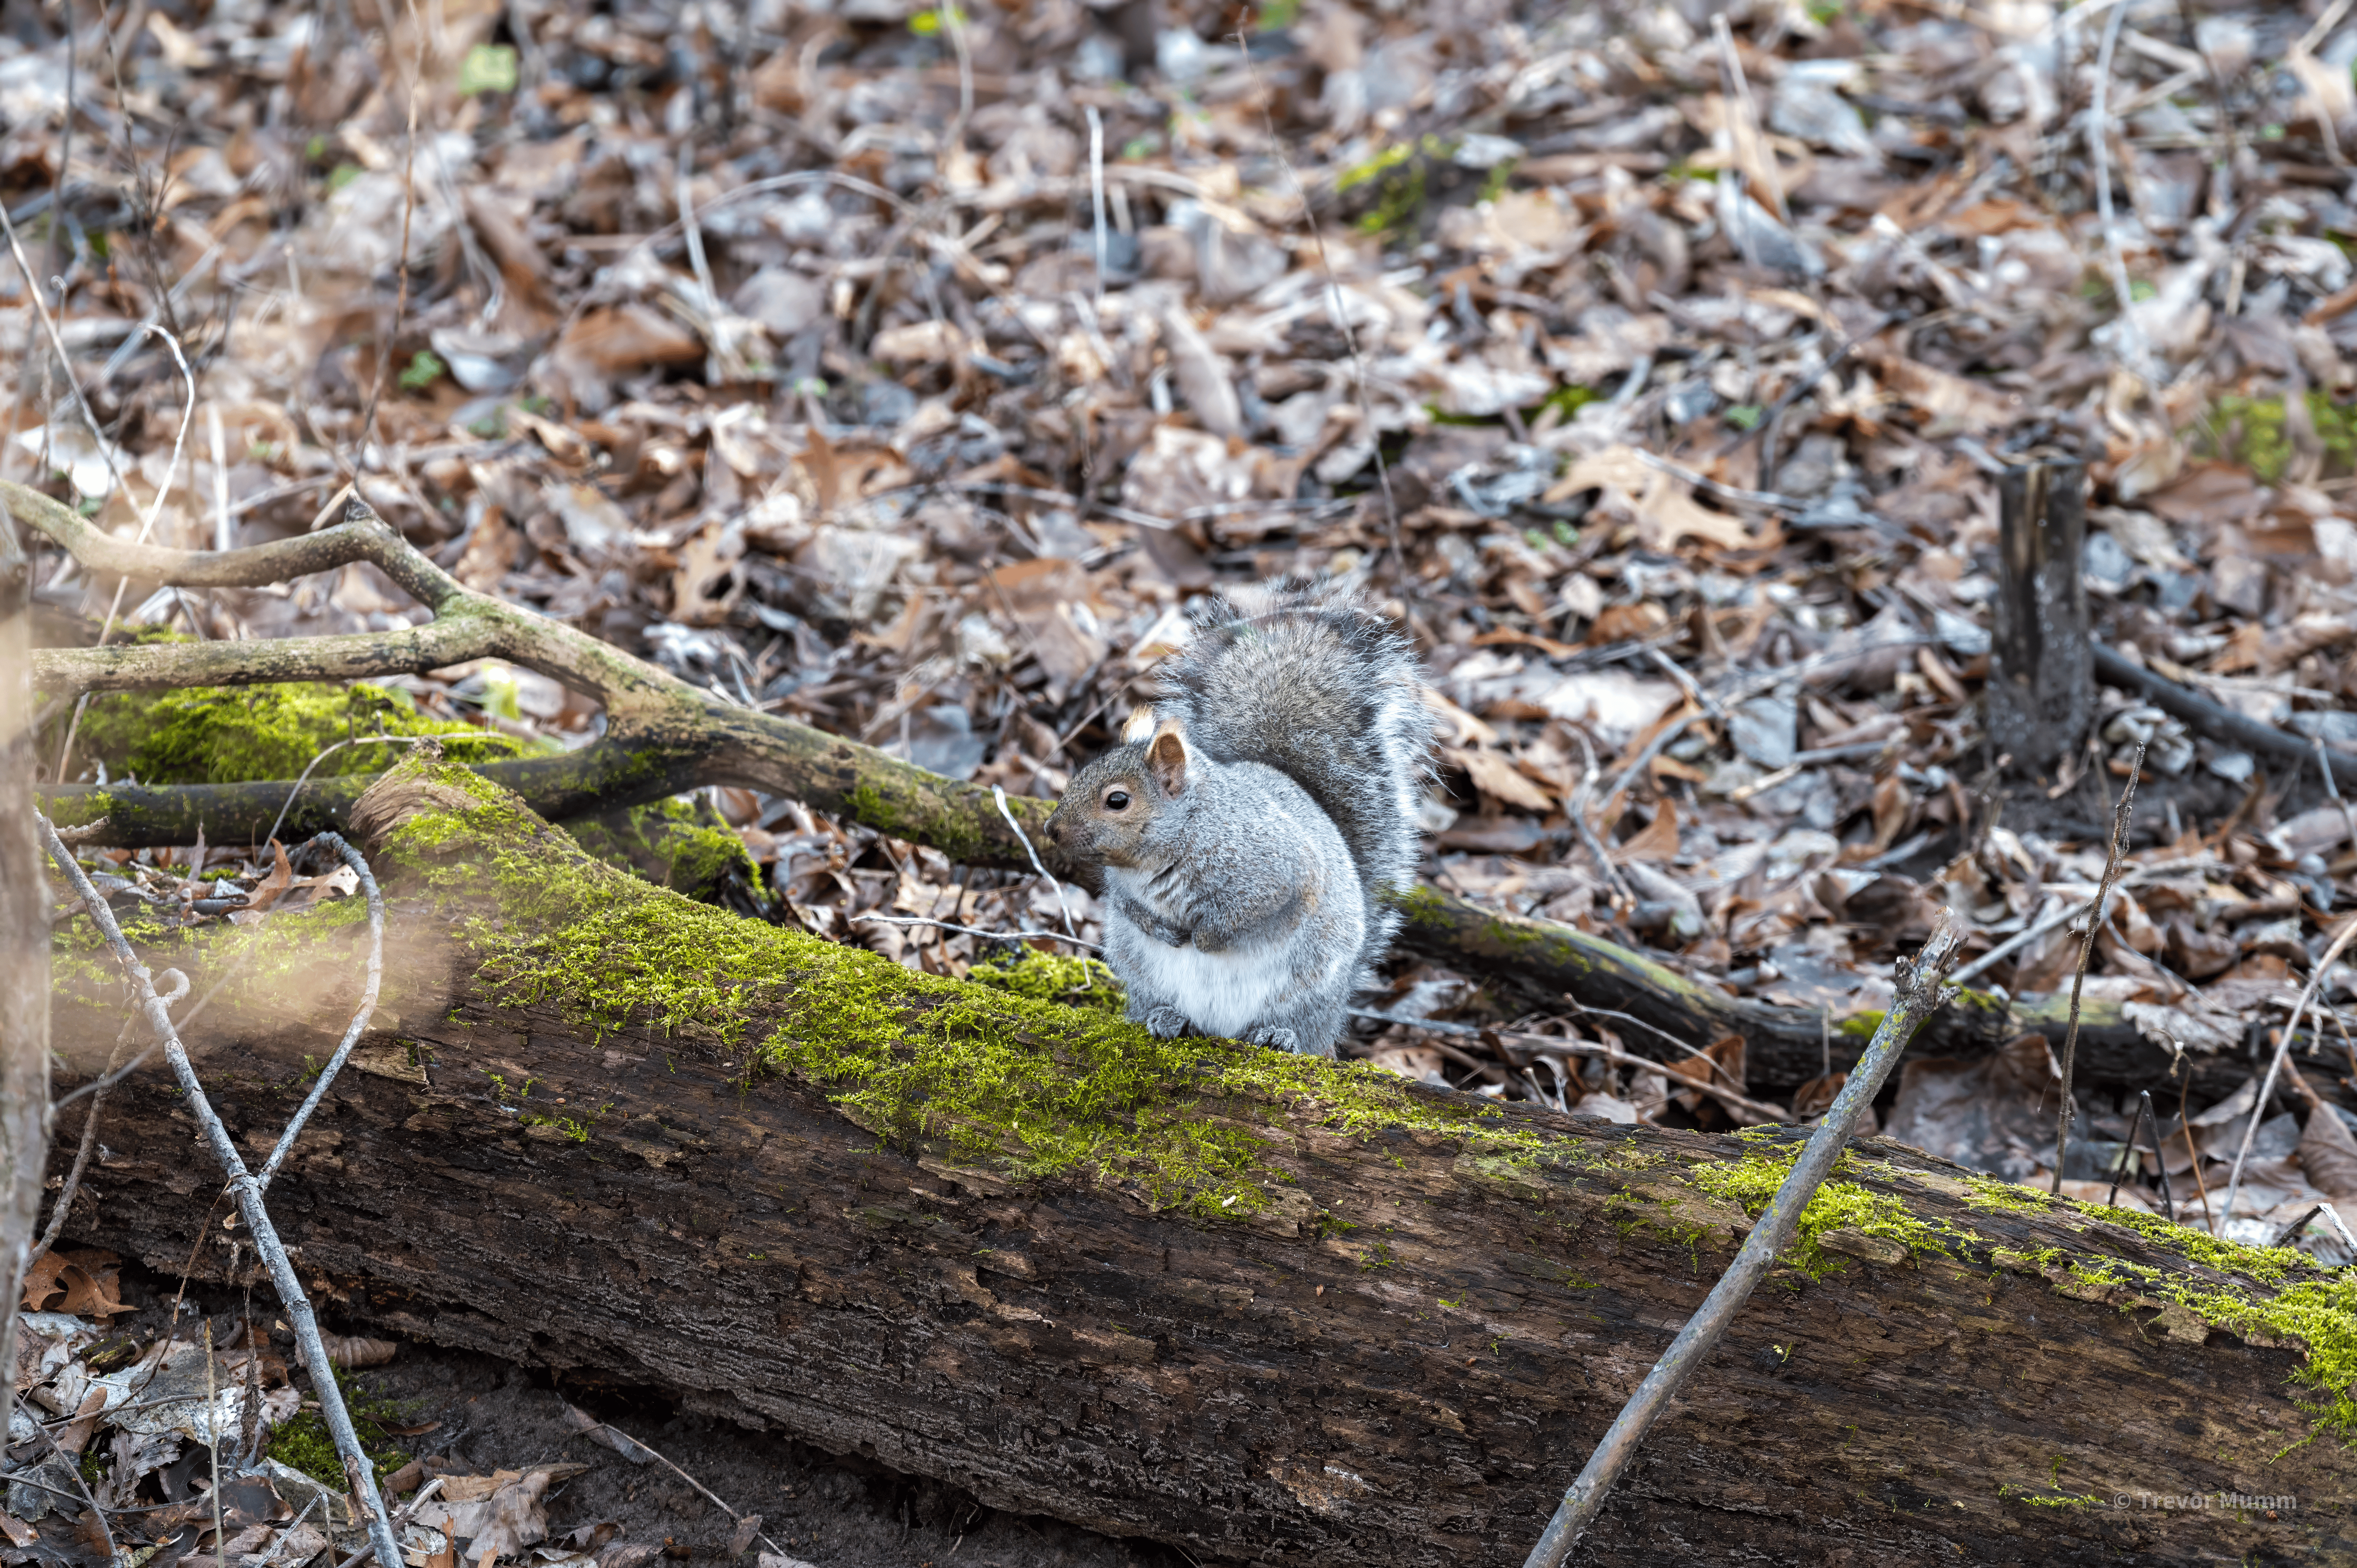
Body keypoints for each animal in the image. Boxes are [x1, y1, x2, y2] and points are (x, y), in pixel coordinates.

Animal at [1043, 578, 1433, 1056]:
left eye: (1118, 801)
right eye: (1079, 774)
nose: (1051, 830)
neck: (1180, 838)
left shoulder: (1275, 869)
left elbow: (1250, 913)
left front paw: (1204, 938)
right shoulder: (1121, 886)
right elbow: (1129, 907)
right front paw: (1162, 929)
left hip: (1309, 989)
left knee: (1300, 1027)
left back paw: (1278, 1034)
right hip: (1143, 979)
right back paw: (1165, 1017)